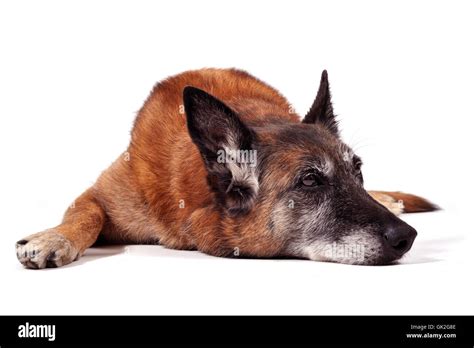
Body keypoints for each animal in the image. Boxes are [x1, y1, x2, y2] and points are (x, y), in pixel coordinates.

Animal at [14, 68, 436, 270]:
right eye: (310, 180)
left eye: (358, 172)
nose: (408, 237)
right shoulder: (99, 195)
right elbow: (86, 215)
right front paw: (54, 239)